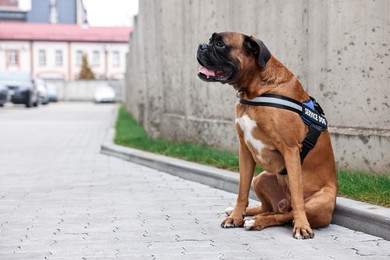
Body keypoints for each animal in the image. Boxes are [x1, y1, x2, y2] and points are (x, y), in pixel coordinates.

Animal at [197, 32, 336, 240]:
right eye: (210, 41)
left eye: (220, 44)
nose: (201, 46)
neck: (256, 89)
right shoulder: (245, 150)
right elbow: (242, 190)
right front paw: (236, 217)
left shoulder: (291, 150)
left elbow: (297, 197)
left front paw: (302, 227)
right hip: (261, 178)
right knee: (269, 209)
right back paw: (248, 215)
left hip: (319, 202)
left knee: (284, 215)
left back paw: (258, 222)